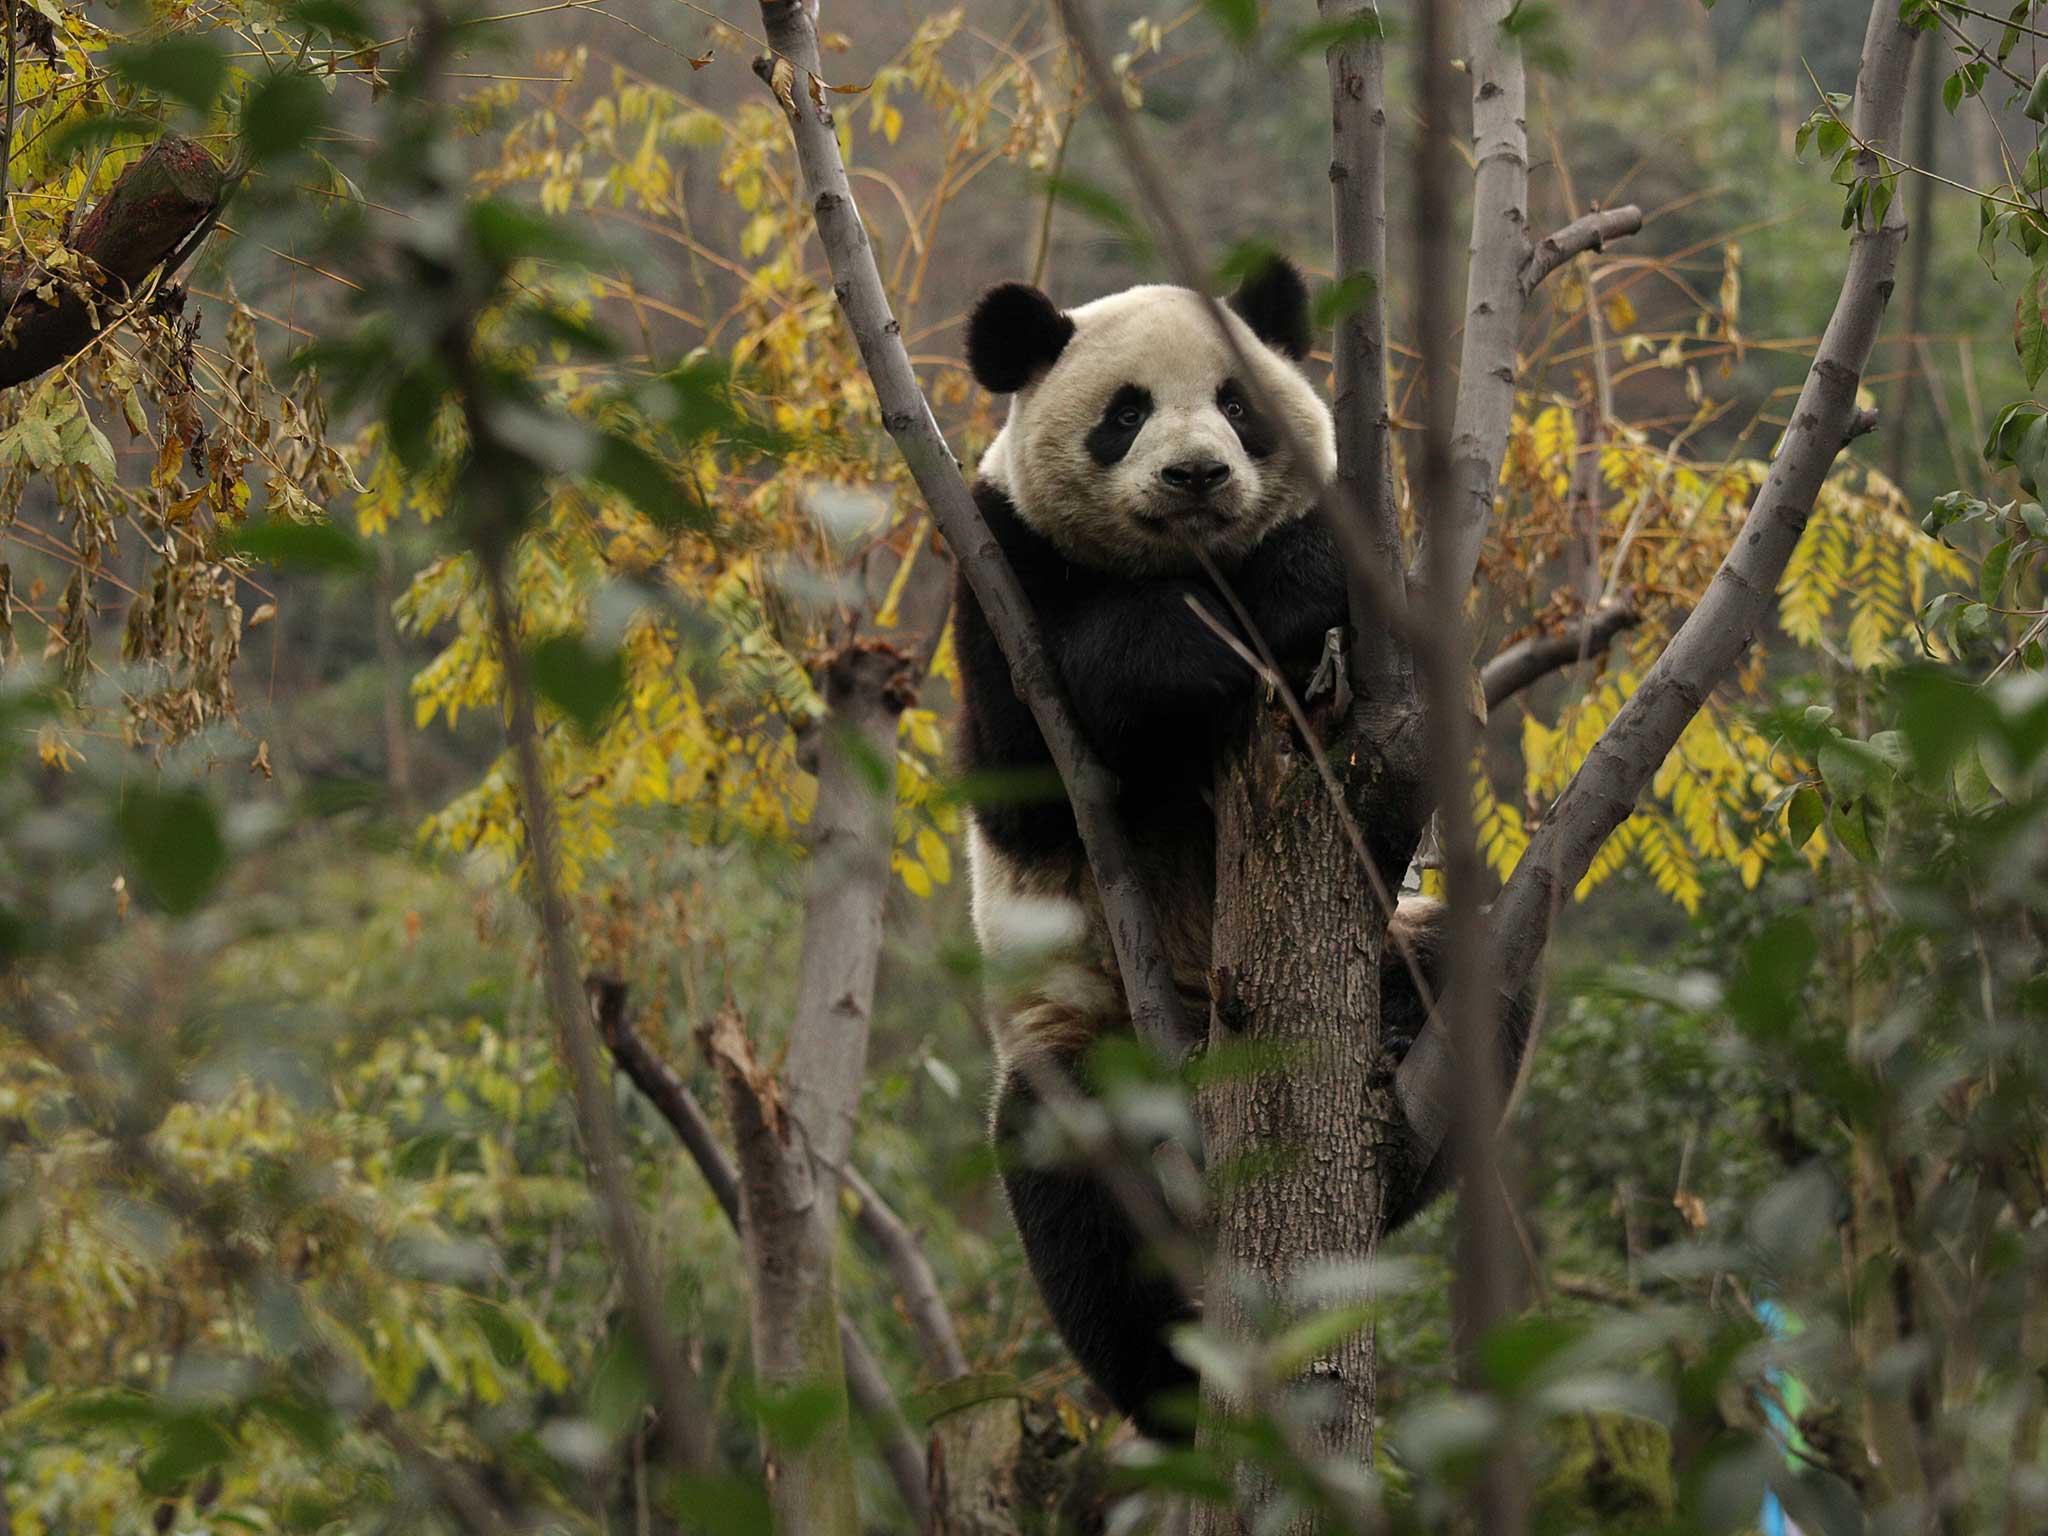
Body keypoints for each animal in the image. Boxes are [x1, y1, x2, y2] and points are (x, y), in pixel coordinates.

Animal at [952, 257, 1529, 1438]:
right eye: (1124, 414)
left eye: (1236, 404)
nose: (1195, 475)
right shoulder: (996, 565)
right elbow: (1042, 756)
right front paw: (1271, 599)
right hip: (1086, 1029)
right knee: (1067, 1162)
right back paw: (1169, 1387)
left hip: (1404, 953)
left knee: (1476, 972)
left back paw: (1397, 1067)